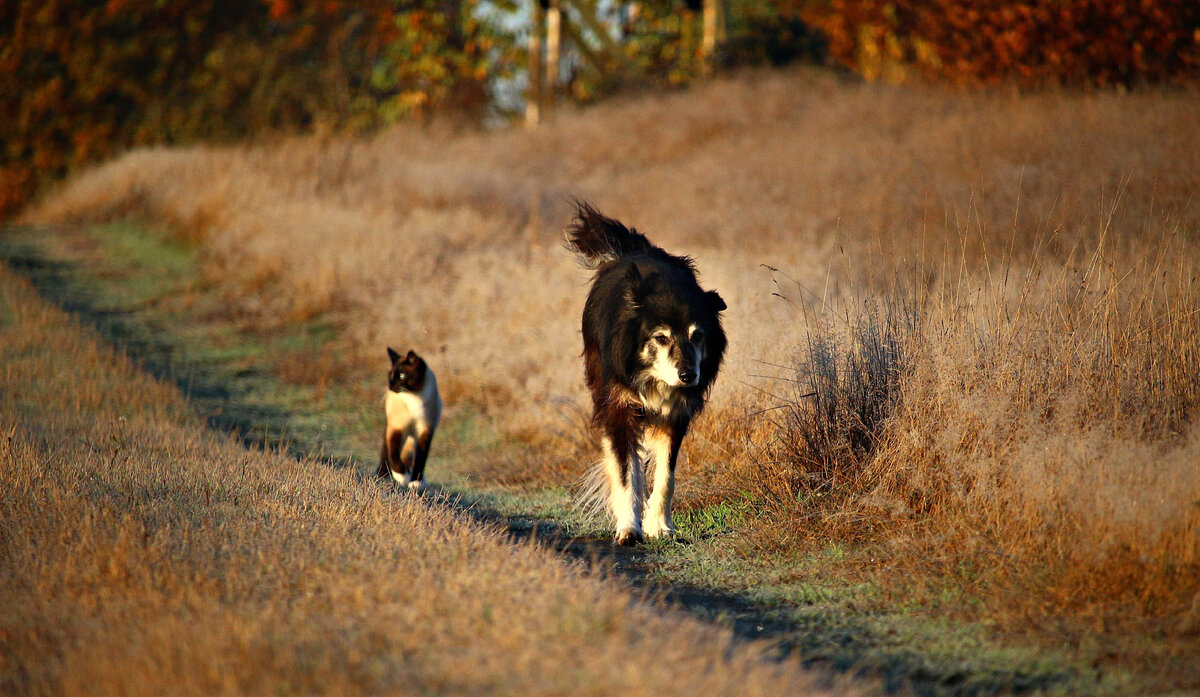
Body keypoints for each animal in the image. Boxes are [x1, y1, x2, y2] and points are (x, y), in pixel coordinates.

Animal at [374, 347, 441, 489]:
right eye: (390, 375)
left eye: (402, 376)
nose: (390, 386)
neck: (414, 396)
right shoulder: (397, 428)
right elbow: (394, 454)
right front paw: (402, 477)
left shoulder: (425, 430)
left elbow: (421, 458)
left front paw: (416, 481)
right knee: (387, 451)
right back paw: (383, 474)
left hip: (412, 437)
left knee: (408, 454)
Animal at [564, 201, 724, 544]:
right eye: (661, 338)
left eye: (697, 336)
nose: (688, 376)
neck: (654, 379)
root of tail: (633, 249)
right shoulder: (619, 406)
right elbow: (626, 472)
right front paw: (629, 529)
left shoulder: (675, 414)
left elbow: (666, 474)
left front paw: (659, 526)